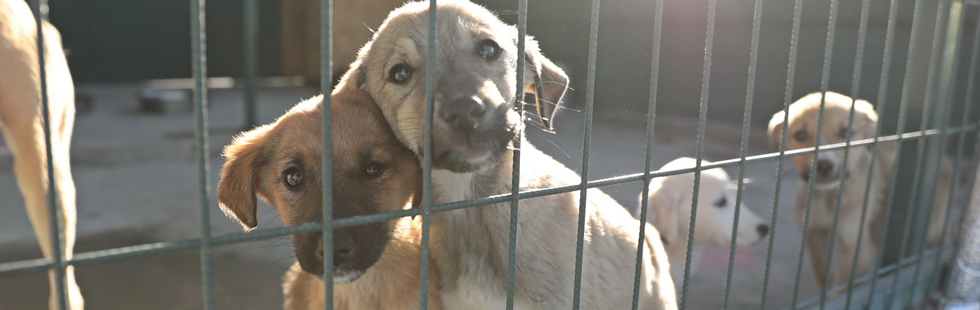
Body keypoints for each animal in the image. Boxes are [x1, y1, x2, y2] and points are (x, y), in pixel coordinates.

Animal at [768, 91, 952, 292]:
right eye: (800, 135)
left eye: (846, 132)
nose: (823, 165)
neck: (829, 196)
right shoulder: (814, 232)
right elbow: (823, 273)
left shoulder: (853, 246)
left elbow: (840, 288)